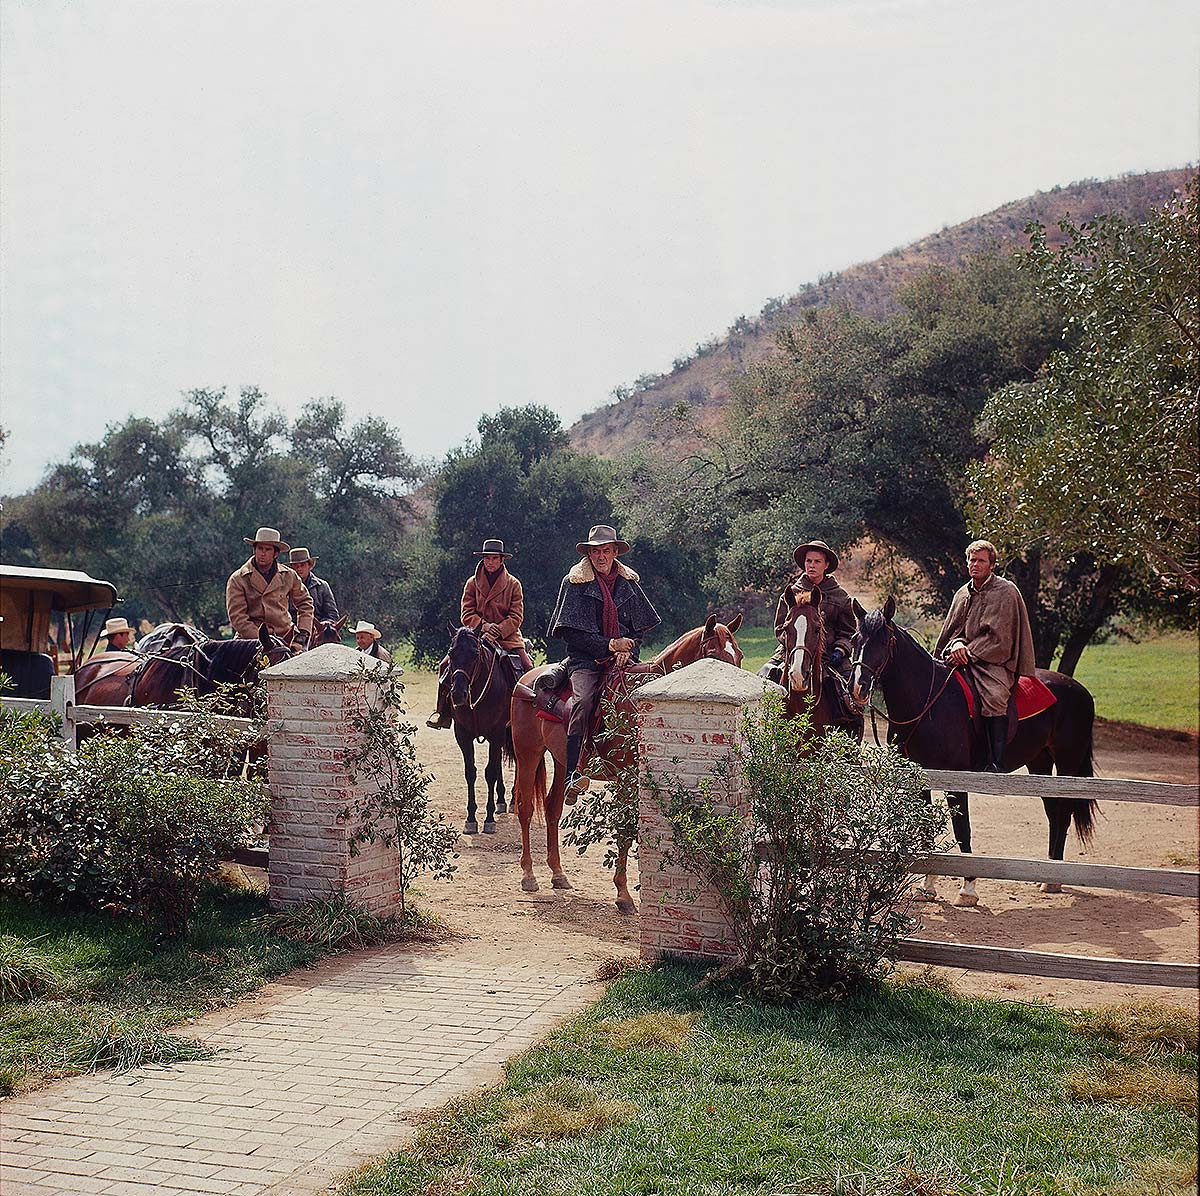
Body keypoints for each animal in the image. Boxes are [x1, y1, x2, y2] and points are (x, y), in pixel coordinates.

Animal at [444, 623, 513, 830]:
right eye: (451, 653)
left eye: (475, 653)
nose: (458, 694)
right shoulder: (463, 735)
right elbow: (471, 772)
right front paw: (471, 818)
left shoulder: (497, 733)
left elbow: (489, 773)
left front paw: (488, 819)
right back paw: (501, 801)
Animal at [506, 611, 739, 911]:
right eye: (712, 654)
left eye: (739, 656)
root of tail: (527, 680)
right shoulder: (625, 779)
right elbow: (625, 829)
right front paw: (624, 895)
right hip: (528, 753)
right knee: (525, 807)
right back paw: (528, 874)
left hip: (561, 762)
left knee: (552, 807)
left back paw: (558, 874)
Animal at [844, 597, 1099, 906]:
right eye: (855, 639)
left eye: (884, 640)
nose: (857, 688)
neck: (927, 702)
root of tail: (1080, 691)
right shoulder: (922, 779)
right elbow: (926, 829)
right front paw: (928, 886)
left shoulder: (957, 780)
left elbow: (961, 827)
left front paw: (968, 888)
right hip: (1040, 763)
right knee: (1053, 812)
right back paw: (1047, 874)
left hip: (1067, 765)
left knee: (1062, 813)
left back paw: (1054, 879)